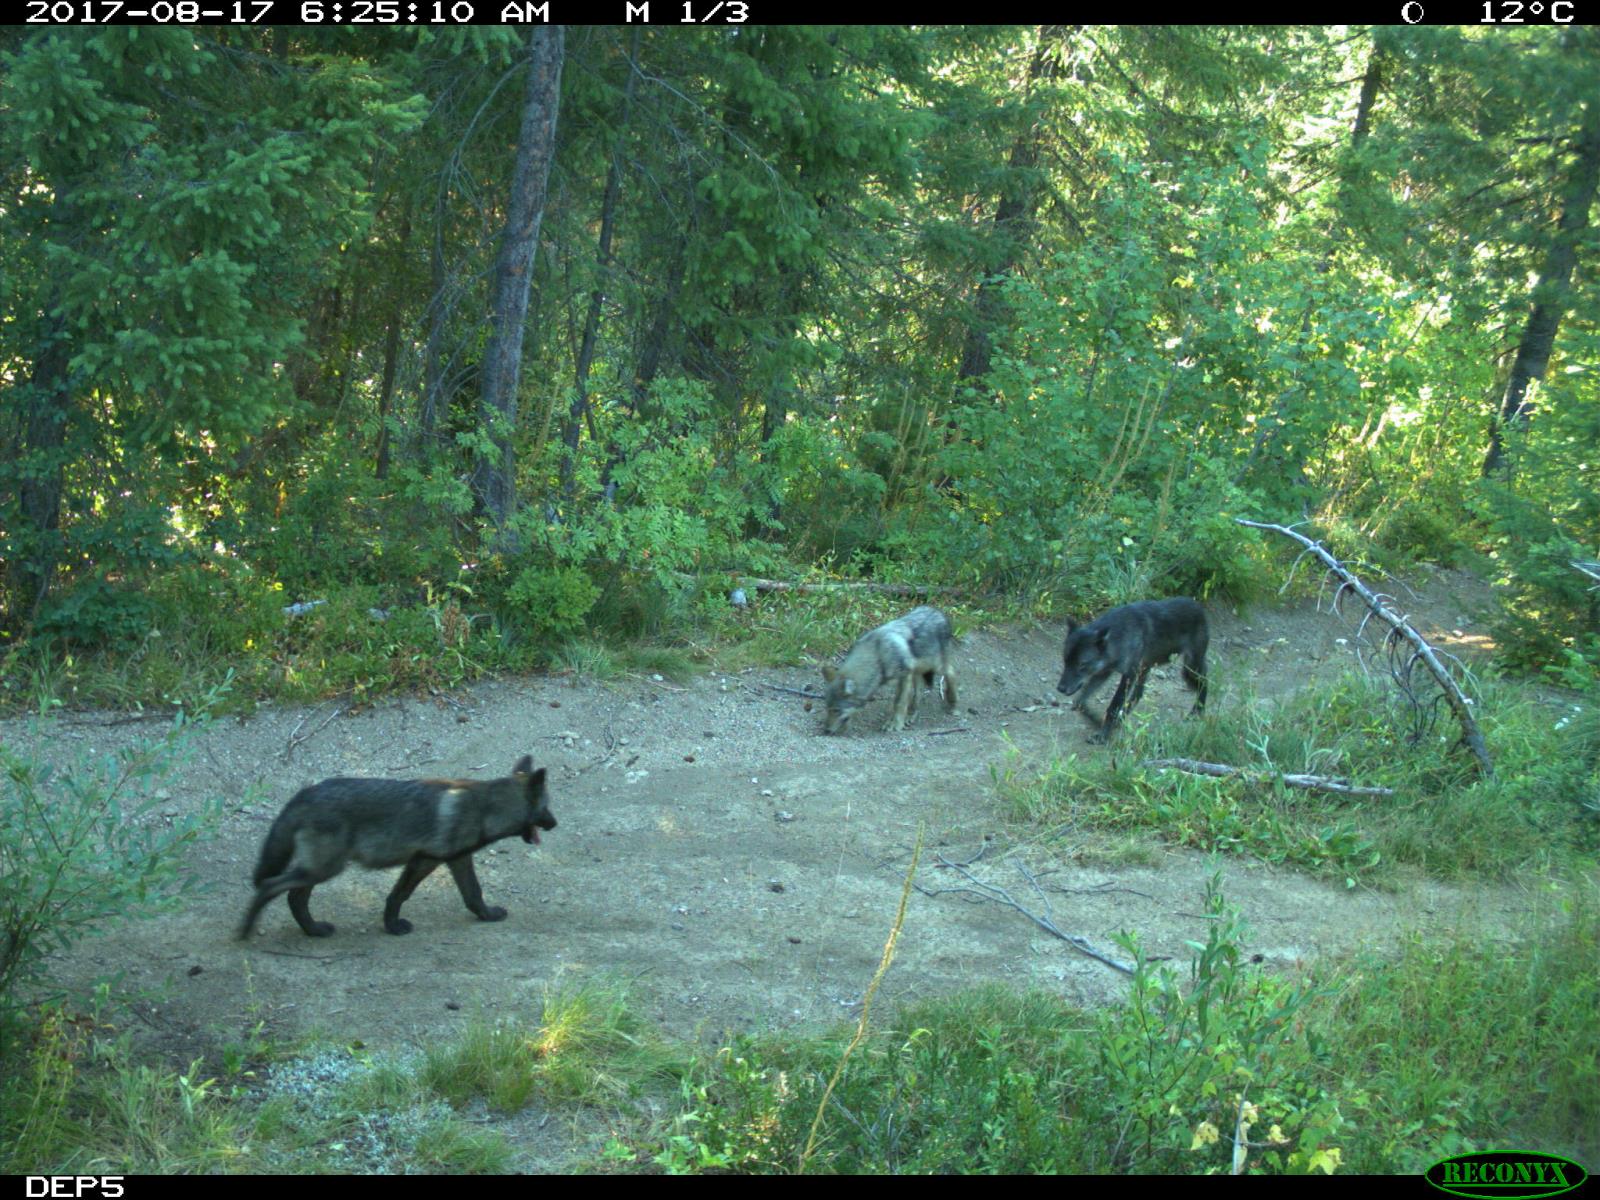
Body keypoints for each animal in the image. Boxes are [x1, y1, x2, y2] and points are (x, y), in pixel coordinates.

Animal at [236, 761, 556, 940]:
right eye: (546, 808)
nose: (555, 823)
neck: (483, 806)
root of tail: (305, 793)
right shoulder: (425, 861)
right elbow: (399, 895)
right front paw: (393, 926)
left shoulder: (455, 859)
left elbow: (473, 894)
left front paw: (486, 915)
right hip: (324, 869)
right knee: (270, 887)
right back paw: (246, 930)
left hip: (318, 871)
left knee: (294, 897)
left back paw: (313, 931)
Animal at [825, 604, 947, 739]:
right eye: (827, 708)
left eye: (836, 710)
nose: (826, 731)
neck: (878, 655)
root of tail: (936, 610)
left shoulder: (905, 675)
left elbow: (899, 703)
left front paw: (895, 724)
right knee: (917, 696)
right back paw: (911, 714)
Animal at [1056, 598, 1203, 742]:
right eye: (1065, 660)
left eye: (1081, 665)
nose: (1060, 688)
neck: (1119, 637)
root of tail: (1197, 604)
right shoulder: (1105, 672)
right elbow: (1079, 702)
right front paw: (1096, 720)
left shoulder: (1129, 674)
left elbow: (1114, 705)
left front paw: (1103, 734)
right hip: (1146, 669)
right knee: (1138, 694)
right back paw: (1121, 721)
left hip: (1190, 668)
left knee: (1204, 683)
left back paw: (1197, 712)